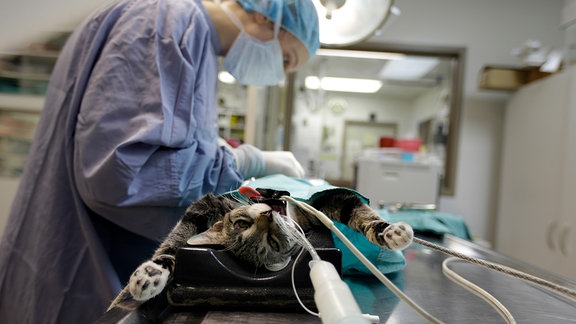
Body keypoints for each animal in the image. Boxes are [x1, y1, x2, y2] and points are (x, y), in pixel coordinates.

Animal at [109, 187, 414, 308]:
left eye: (242, 222)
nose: (267, 215)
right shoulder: (203, 208)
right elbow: (173, 243)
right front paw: (150, 273)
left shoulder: (328, 199)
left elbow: (361, 213)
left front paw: (390, 232)